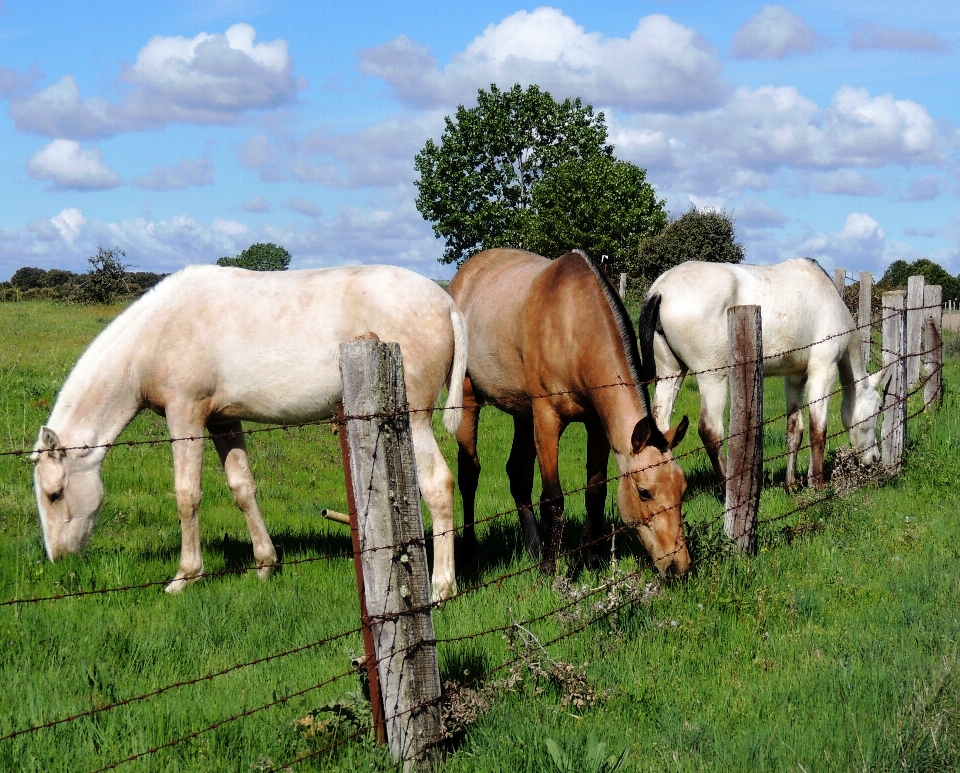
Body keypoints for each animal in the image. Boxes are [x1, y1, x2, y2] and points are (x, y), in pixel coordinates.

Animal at [35, 264, 470, 596]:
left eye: (55, 494)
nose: (59, 559)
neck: (156, 334)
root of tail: (445, 301)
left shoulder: (185, 415)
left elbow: (186, 495)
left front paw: (185, 576)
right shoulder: (222, 420)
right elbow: (242, 488)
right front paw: (265, 564)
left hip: (413, 418)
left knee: (437, 485)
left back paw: (441, 587)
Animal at [450, 247, 688, 572]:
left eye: (683, 489)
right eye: (644, 492)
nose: (679, 567)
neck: (572, 321)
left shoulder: (597, 425)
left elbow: (595, 493)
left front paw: (592, 560)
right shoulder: (548, 419)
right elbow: (553, 498)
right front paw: (551, 570)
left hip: (523, 413)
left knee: (518, 475)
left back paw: (534, 547)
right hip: (469, 396)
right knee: (469, 474)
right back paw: (471, 550)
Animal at [640, 260, 896, 488]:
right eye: (878, 408)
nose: (874, 458)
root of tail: (660, 290)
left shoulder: (795, 377)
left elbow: (795, 430)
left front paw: (791, 484)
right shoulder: (823, 369)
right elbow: (818, 430)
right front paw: (818, 485)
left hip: (671, 373)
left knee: (662, 427)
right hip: (712, 376)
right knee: (710, 432)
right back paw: (725, 489)